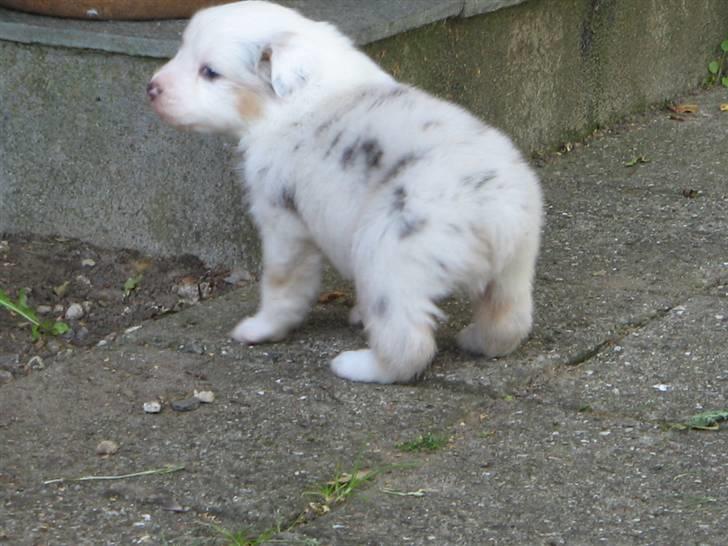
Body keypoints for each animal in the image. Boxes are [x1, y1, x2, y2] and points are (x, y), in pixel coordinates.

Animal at [148, 0, 544, 382]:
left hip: (386, 258)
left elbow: (281, 286)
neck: (304, 93)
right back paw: (475, 340)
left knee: (408, 344)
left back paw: (357, 366)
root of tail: (496, 212)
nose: (152, 88)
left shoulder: (282, 224)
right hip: (514, 268)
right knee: (508, 322)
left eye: (210, 72)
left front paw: (259, 329)